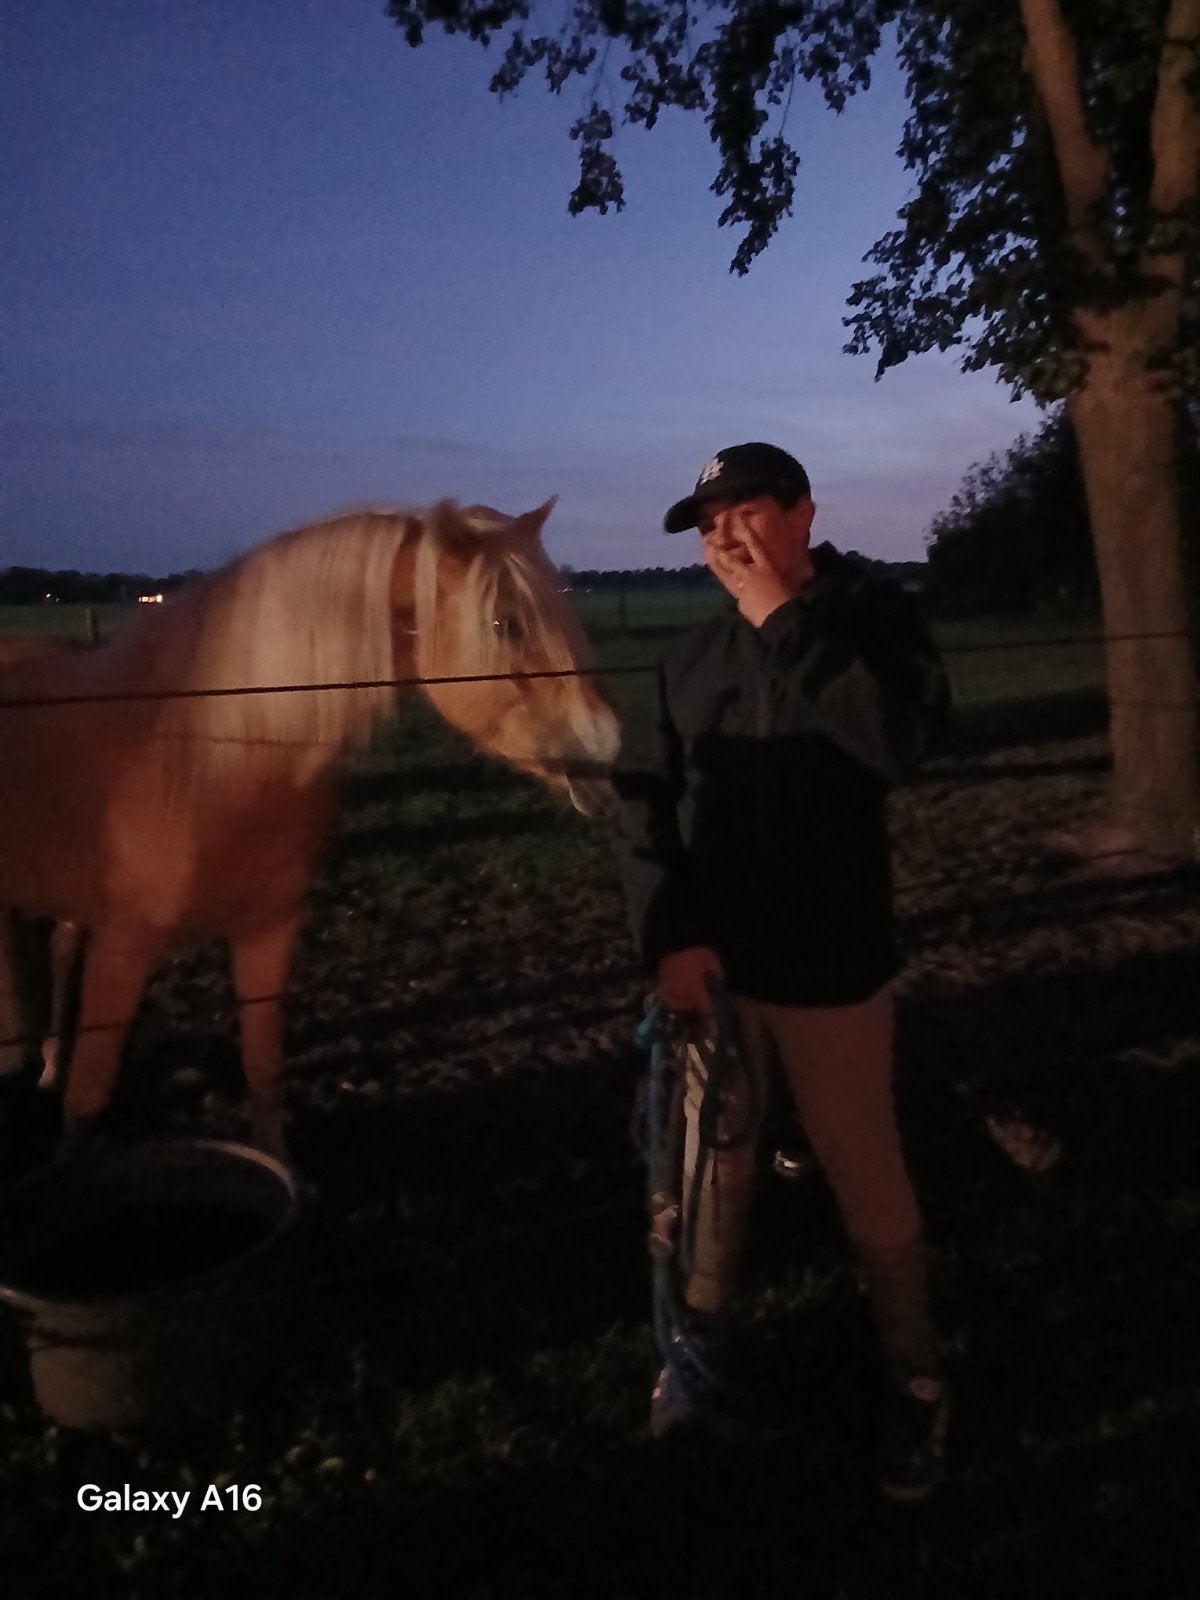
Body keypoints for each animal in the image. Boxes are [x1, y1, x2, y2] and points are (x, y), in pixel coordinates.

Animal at [0, 498, 618, 1154]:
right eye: (505, 625)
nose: (605, 746)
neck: (209, 756)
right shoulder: (122, 949)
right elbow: (87, 1103)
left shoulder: (267, 934)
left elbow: (264, 1074)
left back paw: (46, 1064)